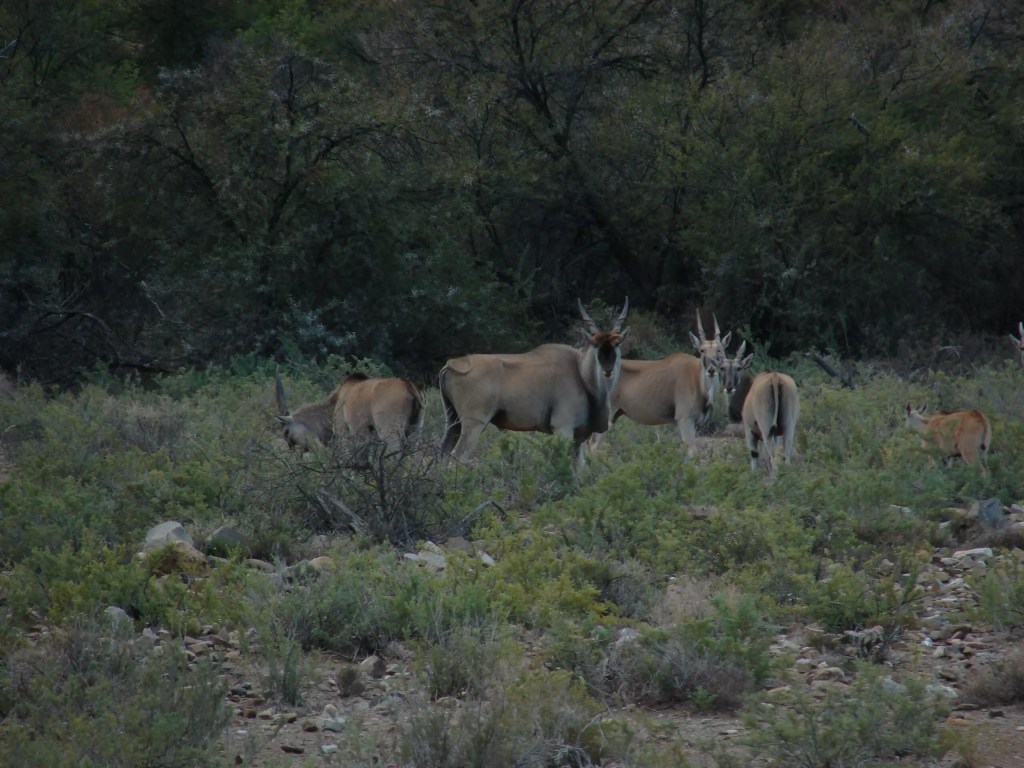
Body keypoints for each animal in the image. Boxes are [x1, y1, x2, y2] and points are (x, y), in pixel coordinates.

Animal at [275, 371, 425, 453]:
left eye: (286, 432)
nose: (294, 452)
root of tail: (408, 386)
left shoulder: (345, 435)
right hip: (415, 433)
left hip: (390, 434)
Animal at [439, 299, 629, 472]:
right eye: (595, 344)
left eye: (617, 344)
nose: (608, 369)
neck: (580, 370)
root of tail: (453, 364)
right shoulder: (563, 429)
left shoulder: (578, 438)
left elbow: (579, 469)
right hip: (474, 423)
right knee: (458, 456)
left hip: (453, 420)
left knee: (443, 451)